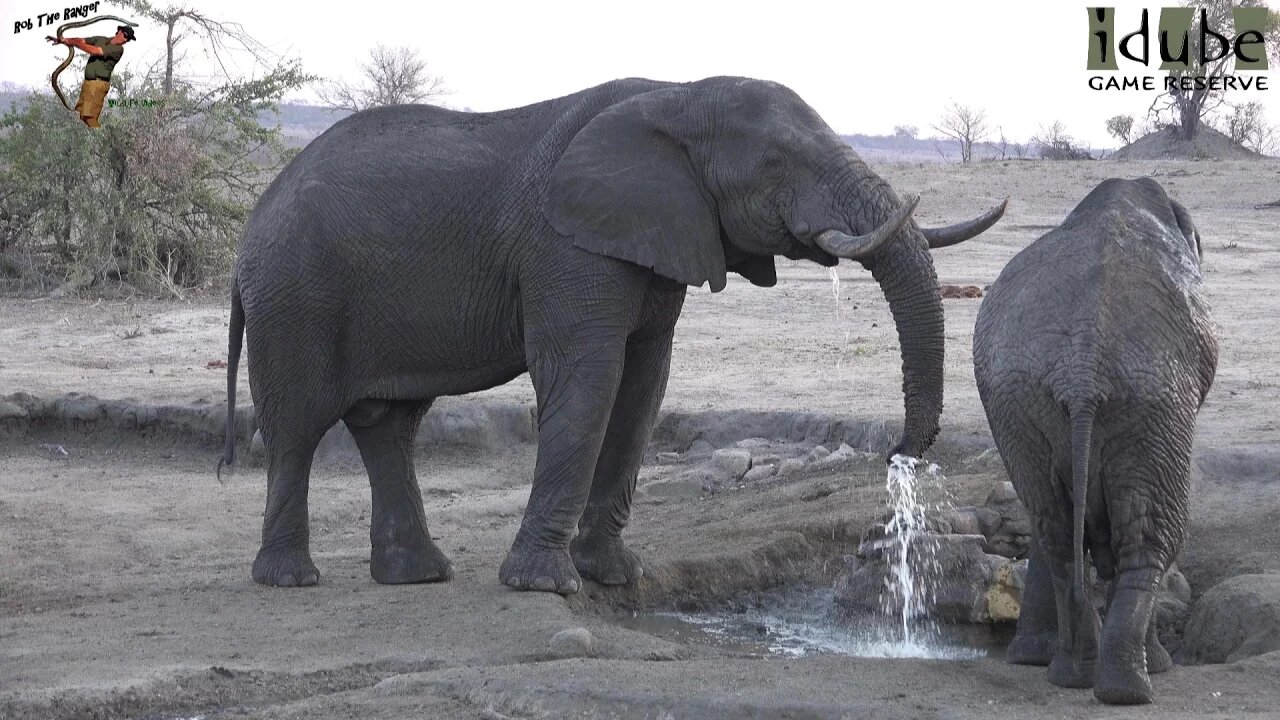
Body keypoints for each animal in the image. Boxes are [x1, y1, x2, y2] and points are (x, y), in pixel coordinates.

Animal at [222, 75, 1008, 594]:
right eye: (776, 164)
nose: (897, 455)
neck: (677, 96)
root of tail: (254, 220)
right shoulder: (569, 244)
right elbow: (589, 380)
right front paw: (547, 586)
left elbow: (643, 384)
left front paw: (612, 576)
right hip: (294, 293)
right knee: (296, 427)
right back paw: (290, 580)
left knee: (390, 424)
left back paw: (417, 577)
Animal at [972, 176, 1213, 702]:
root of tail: (1082, 367)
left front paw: (1031, 658)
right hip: (1155, 405)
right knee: (1149, 537)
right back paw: (1134, 686)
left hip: (1020, 399)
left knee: (1056, 530)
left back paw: (1076, 676)